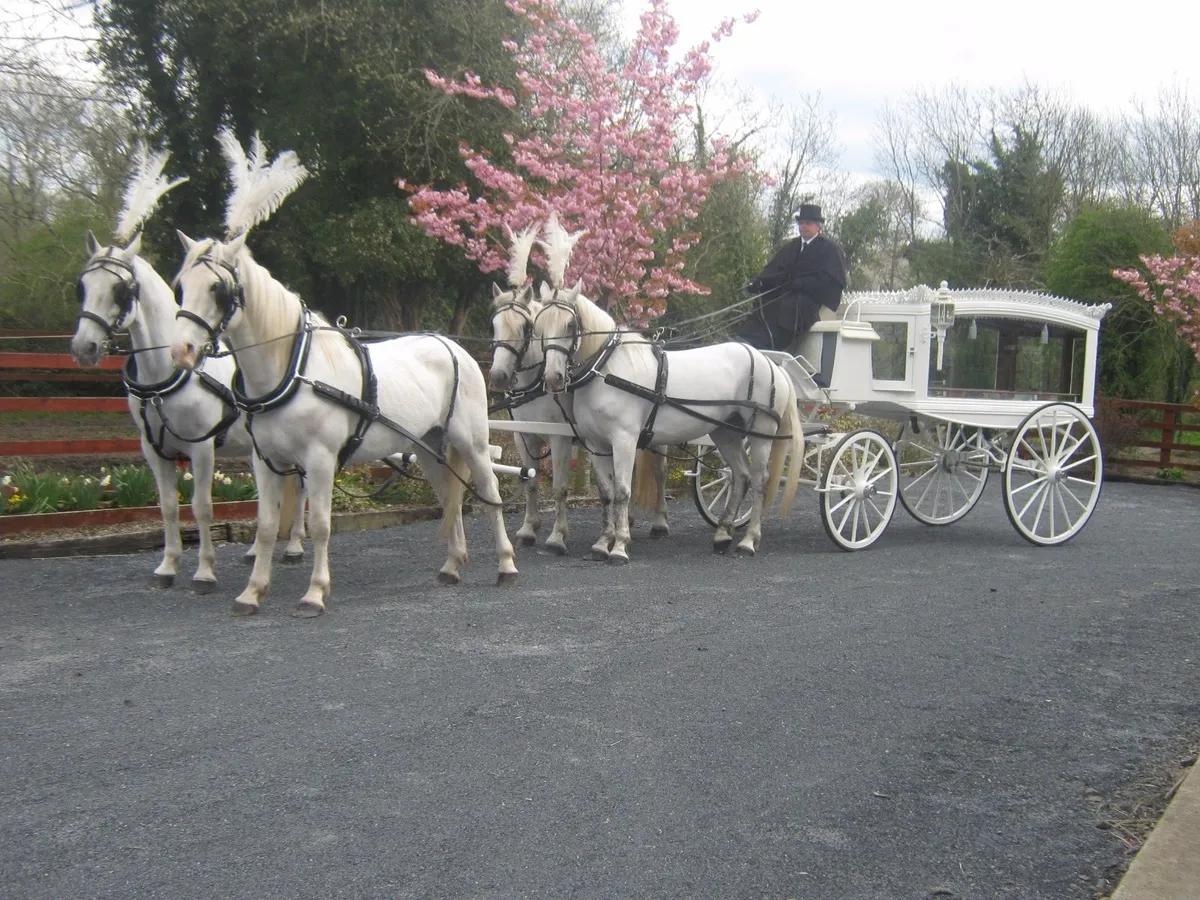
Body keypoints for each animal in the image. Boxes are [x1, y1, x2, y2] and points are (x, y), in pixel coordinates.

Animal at [69, 230, 304, 592]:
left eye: (120, 289)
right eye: (82, 285)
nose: (84, 347)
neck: (164, 375)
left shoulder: (202, 448)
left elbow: (202, 507)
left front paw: (205, 571)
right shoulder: (152, 449)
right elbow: (168, 507)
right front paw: (168, 566)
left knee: (301, 490)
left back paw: (294, 546)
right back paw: (255, 551)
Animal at [171, 229, 518, 619]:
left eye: (217, 288)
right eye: (180, 286)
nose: (181, 350)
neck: (293, 370)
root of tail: (455, 348)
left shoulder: (320, 460)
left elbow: (320, 525)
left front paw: (314, 593)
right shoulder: (266, 462)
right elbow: (266, 527)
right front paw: (252, 593)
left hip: (472, 443)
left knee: (489, 493)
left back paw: (506, 565)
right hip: (428, 447)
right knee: (450, 498)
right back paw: (452, 565)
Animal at [537, 283, 806, 564]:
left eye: (569, 324)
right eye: (539, 326)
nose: (553, 377)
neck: (607, 370)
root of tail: (770, 363)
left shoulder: (624, 440)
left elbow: (622, 491)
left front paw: (620, 546)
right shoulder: (596, 444)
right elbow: (607, 494)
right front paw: (602, 544)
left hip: (761, 433)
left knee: (759, 480)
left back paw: (749, 541)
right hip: (726, 433)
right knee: (741, 476)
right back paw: (722, 535)